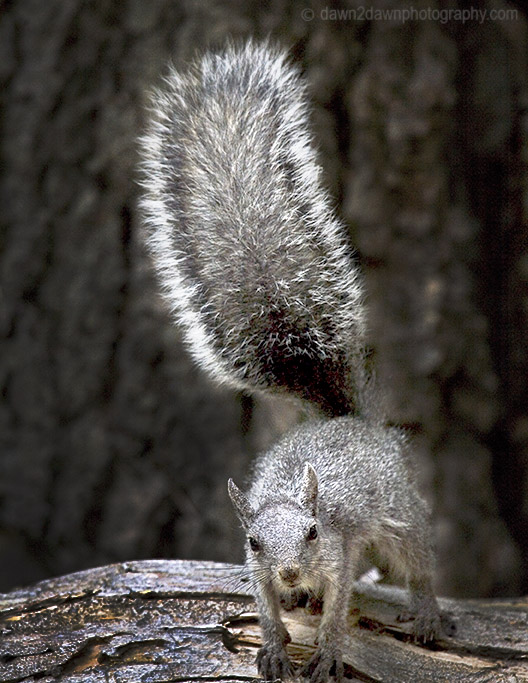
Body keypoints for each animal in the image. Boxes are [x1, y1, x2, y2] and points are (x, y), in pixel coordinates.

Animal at [139, 41, 446, 683]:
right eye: (255, 543)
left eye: (312, 531)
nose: (288, 573)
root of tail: (348, 421)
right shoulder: (255, 572)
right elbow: (265, 608)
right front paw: (276, 643)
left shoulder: (339, 553)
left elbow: (338, 607)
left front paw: (326, 649)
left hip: (400, 508)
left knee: (418, 561)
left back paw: (426, 612)